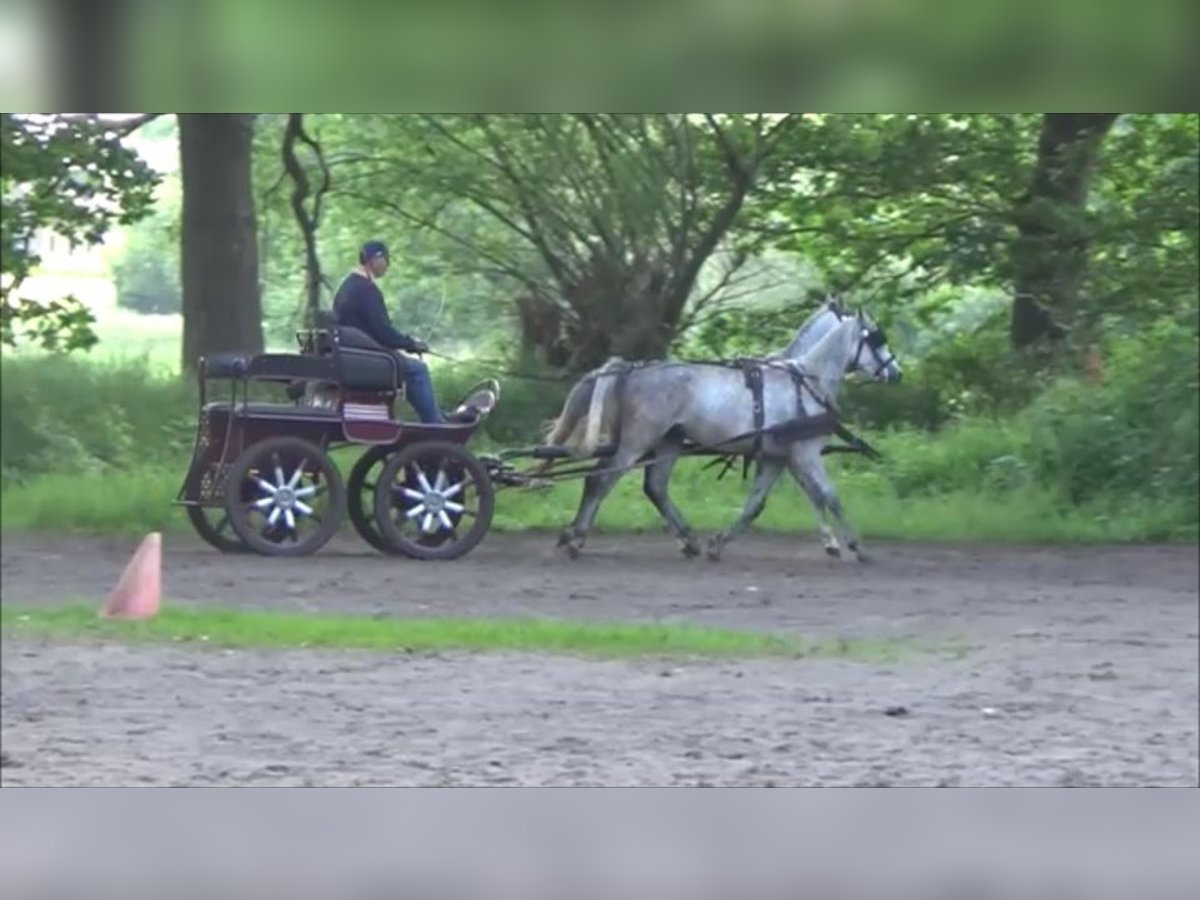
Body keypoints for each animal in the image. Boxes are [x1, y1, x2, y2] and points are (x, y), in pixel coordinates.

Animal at [542, 307, 902, 561]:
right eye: (876, 339)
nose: (897, 373)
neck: (804, 381)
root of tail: (632, 369)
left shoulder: (777, 458)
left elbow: (758, 504)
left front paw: (719, 543)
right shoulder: (806, 454)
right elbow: (829, 496)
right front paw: (855, 546)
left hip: (669, 441)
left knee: (654, 486)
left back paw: (688, 541)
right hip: (637, 441)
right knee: (600, 480)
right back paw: (577, 537)